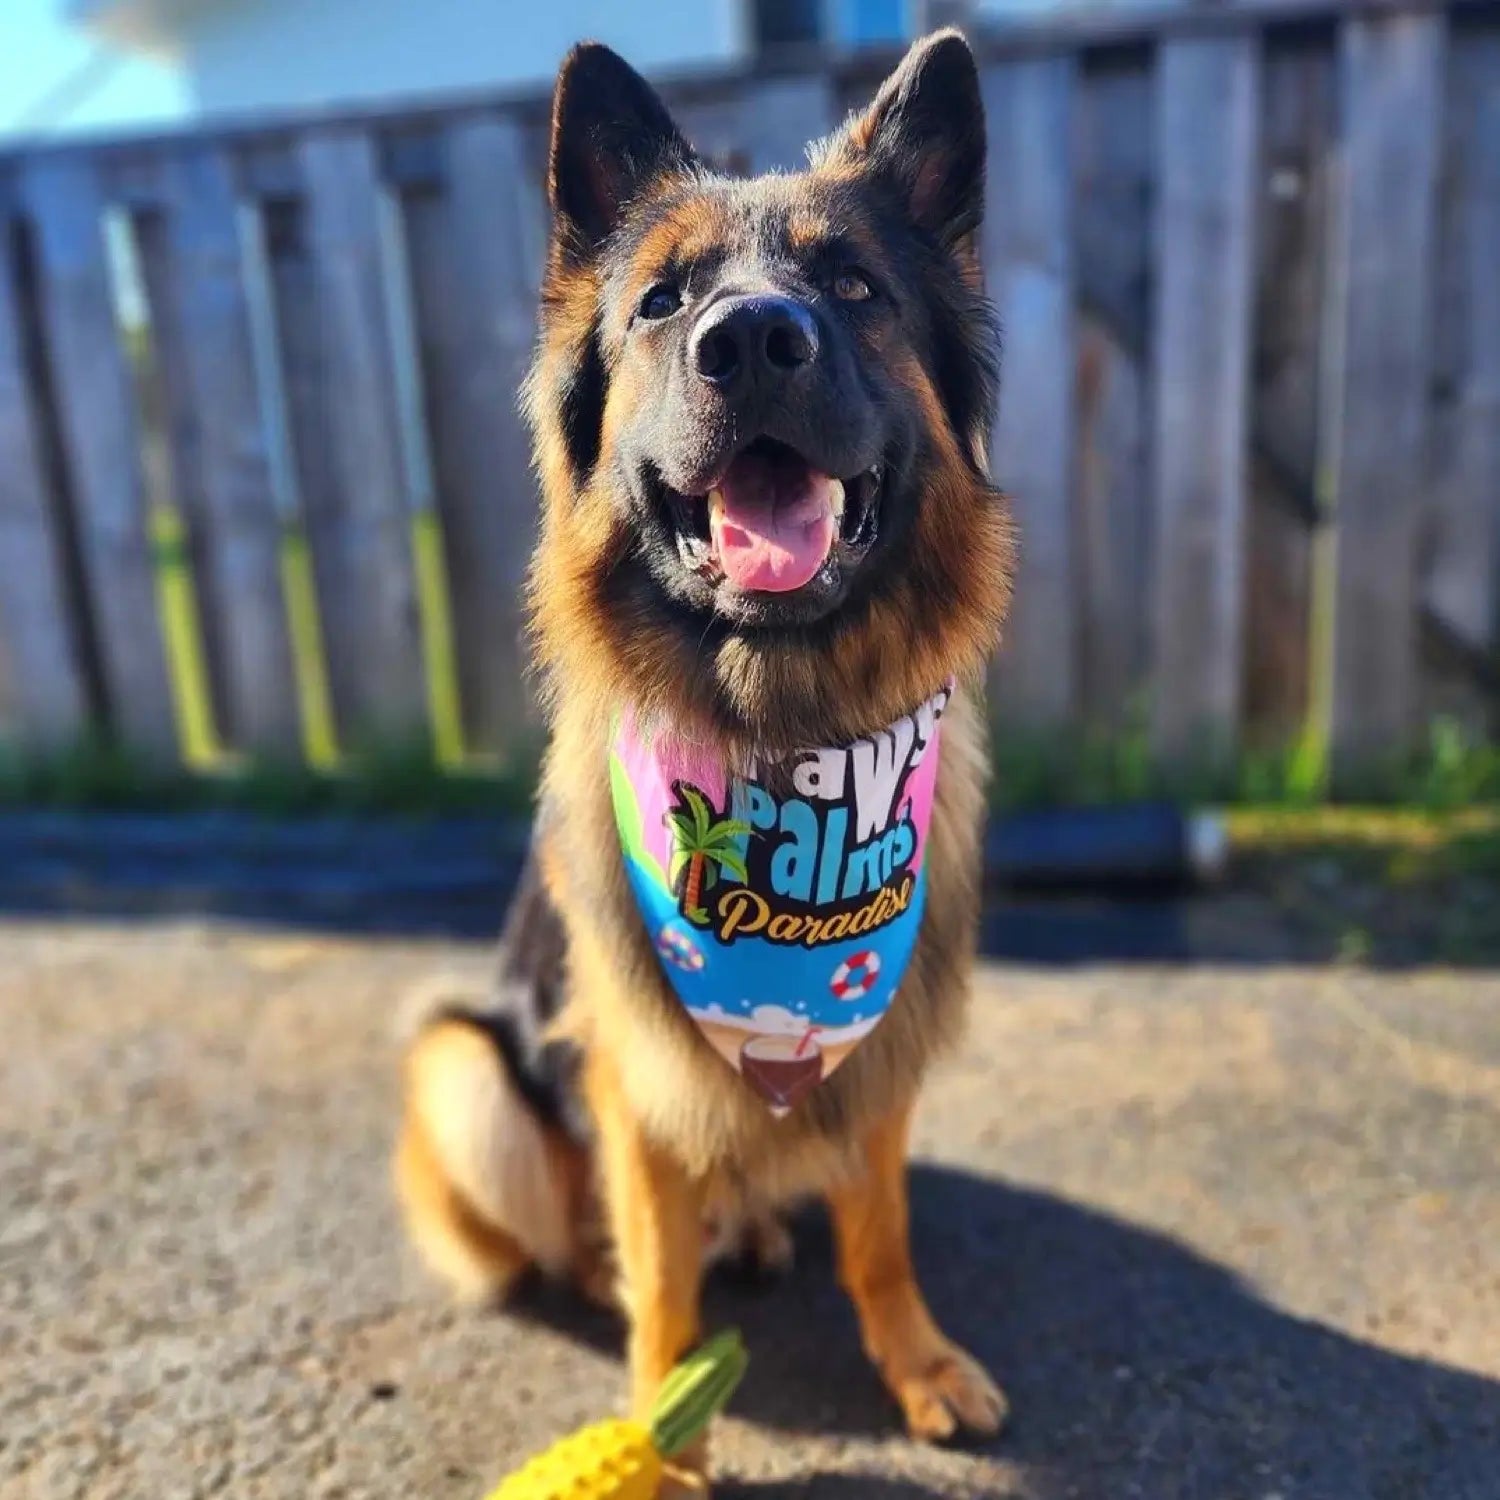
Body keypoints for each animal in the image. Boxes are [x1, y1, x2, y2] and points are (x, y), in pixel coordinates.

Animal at [393, 26, 1014, 1488]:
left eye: (852, 285)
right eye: (665, 302)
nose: (752, 342)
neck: (780, 736)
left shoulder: (880, 1067)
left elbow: (883, 1233)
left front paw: (915, 1361)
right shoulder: (632, 1085)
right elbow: (664, 1282)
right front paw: (659, 1423)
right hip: (463, 1072)